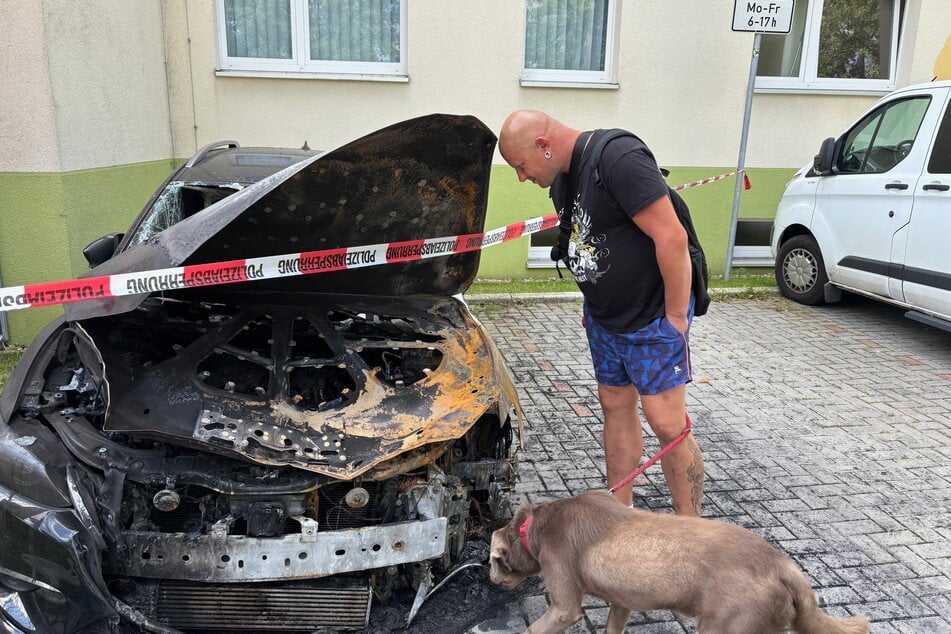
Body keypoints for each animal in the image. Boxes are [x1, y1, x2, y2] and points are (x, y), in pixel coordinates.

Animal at [490, 488, 872, 632]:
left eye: (492, 563)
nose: (491, 580)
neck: (533, 525)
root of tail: (782, 564)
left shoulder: (564, 602)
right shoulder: (622, 600)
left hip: (726, 625)